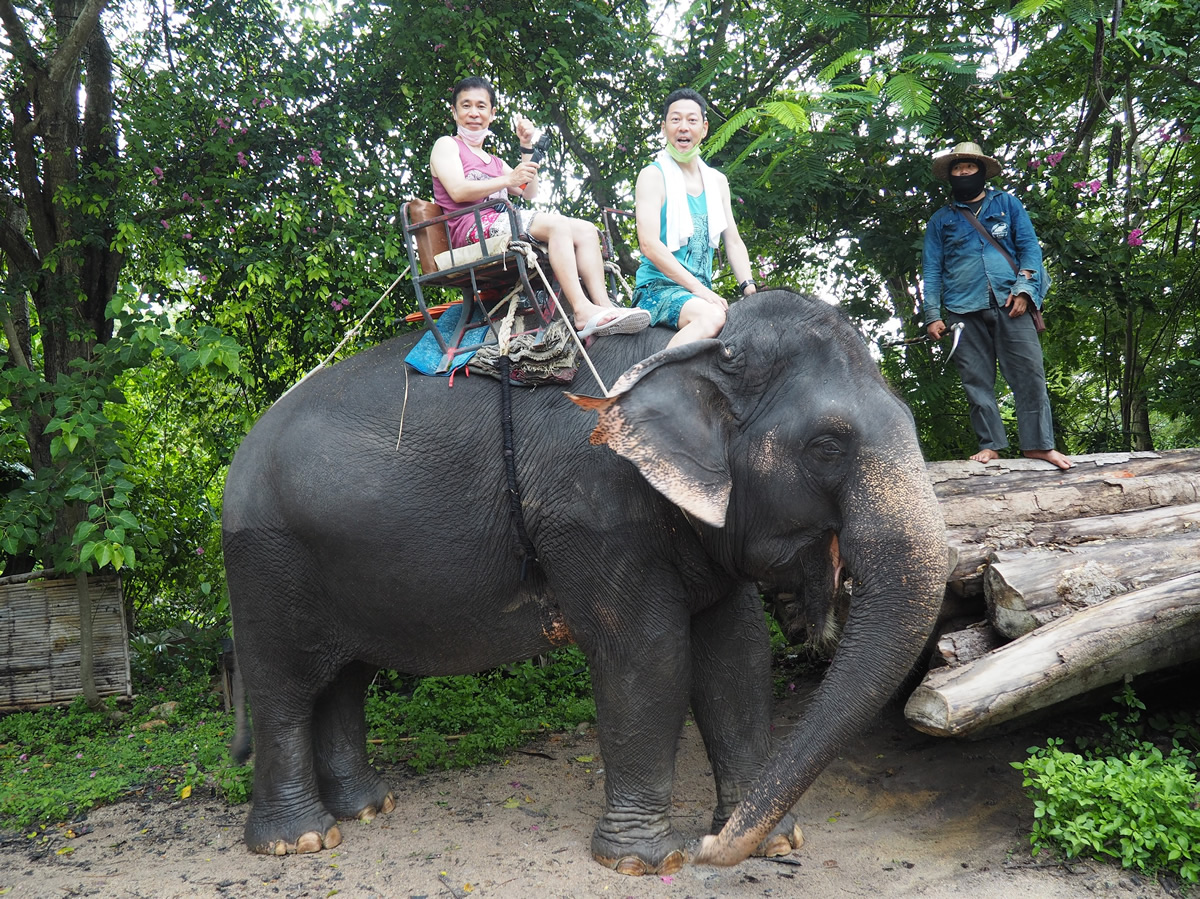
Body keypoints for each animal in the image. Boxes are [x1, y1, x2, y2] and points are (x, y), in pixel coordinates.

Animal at [223, 288, 945, 868]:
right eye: (827, 446)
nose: (712, 848)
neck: (695, 349)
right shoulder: (594, 509)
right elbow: (648, 653)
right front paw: (648, 861)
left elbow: (737, 652)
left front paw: (772, 842)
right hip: (264, 561)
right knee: (284, 687)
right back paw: (299, 842)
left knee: (346, 679)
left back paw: (370, 808)